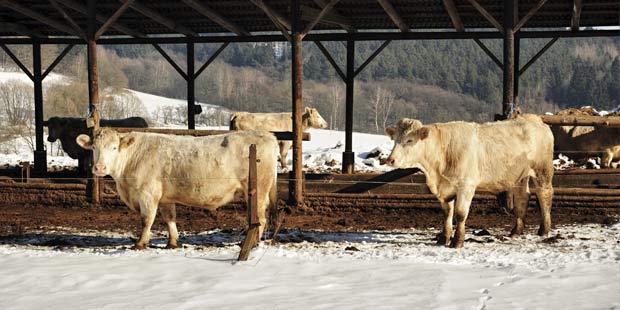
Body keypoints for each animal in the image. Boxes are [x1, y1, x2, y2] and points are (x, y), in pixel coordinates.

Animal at [76, 128, 278, 249]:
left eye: (114, 147)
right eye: (93, 147)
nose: (99, 168)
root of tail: (267, 135)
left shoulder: (148, 194)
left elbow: (146, 220)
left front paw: (140, 243)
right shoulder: (165, 198)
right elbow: (169, 218)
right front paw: (172, 242)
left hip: (258, 190)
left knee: (260, 218)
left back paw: (252, 243)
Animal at [386, 115, 556, 248]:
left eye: (409, 140)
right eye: (394, 140)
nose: (390, 160)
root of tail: (534, 119)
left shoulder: (466, 185)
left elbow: (460, 214)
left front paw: (457, 241)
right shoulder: (445, 188)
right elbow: (447, 213)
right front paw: (443, 238)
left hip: (542, 170)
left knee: (544, 194)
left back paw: (544, 230)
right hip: (519, 175)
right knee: (522, 198)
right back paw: (516, 231)